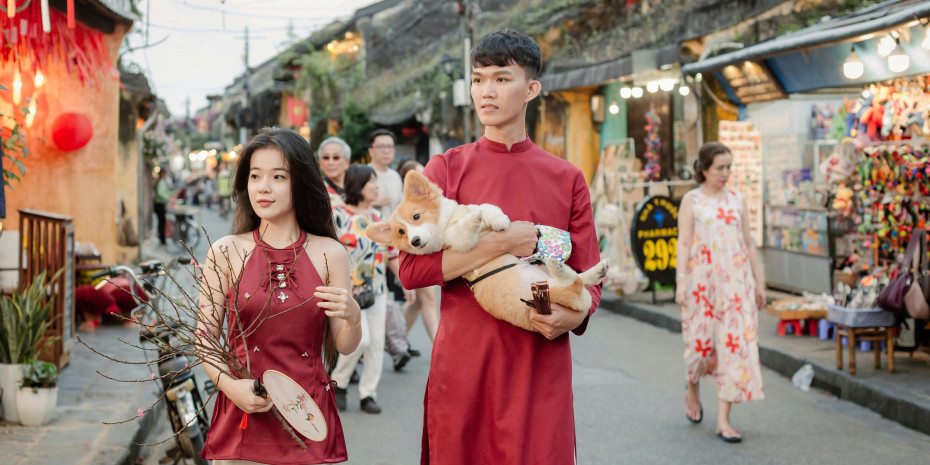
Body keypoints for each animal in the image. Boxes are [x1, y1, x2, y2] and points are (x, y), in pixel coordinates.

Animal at [362, 172, 608, 332]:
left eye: (416, 217)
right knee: (575, 284)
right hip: (552, 293)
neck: (447, 221)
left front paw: (498, 220)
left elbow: (486, 207)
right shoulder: (459, 243)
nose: (414, 241)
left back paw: (595, 270)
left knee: (580, 280)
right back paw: (564, 268)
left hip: (545, 278)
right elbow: (465, 227)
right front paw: (473, 220)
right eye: (401, 232)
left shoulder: (473, 207)